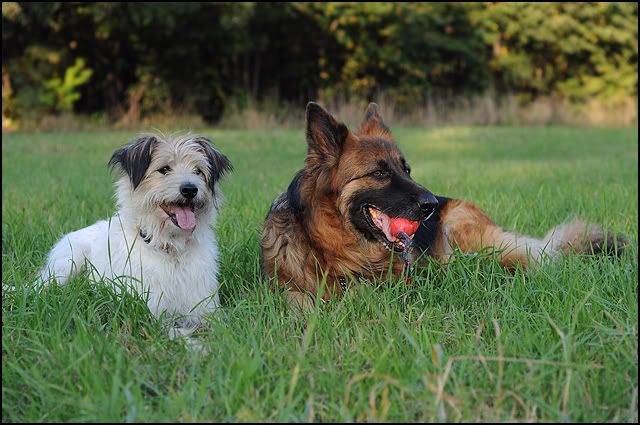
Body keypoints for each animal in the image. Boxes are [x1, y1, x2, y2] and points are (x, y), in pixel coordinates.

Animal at [38, 133, 232, 336]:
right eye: (164, 169)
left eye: (198, 171)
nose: (190, 189)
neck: (171, 249)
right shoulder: (151, 313)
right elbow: (177, 333)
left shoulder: (205, 306)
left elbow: (219, 327)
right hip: (67, 265)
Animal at [261, 102, 626, 308]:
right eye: (379, 172)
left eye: (406, 170)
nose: (431, 204)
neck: (336, 247)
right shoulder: (285, 286)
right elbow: (298, 301)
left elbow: (357, 294)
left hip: (465, 233)